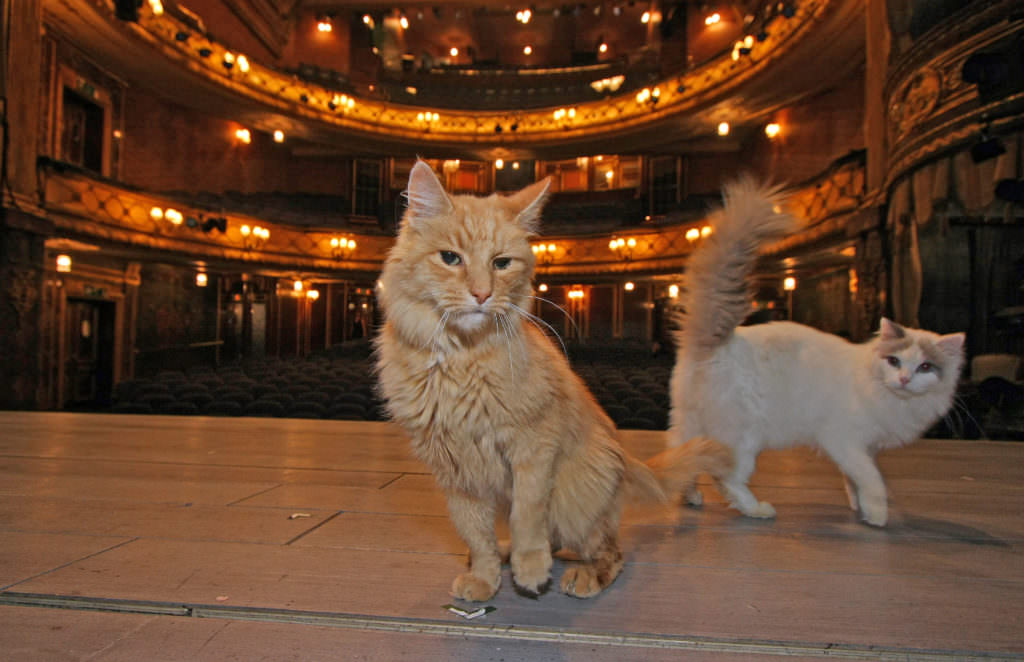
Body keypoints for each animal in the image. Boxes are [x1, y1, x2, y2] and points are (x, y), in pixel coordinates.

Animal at [376, 160, 729, 602]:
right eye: (450, 258)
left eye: (501, 263)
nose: (482, 294)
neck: (460, 359)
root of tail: (624, 461)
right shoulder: (454, 470)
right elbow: (475, 532)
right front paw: (486, 577)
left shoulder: (533, 447)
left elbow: (528, 515)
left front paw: (529, 568)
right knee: (561, 541)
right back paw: (509, 557)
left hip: (577, 496)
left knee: (609, 551)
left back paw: (580, 576)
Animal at [667, 177, 962, 528]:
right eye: (894, 361)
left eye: (926, 367)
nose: (904, 378)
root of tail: (714, 341)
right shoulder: (845, 440)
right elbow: (873, 481)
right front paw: (877, 515)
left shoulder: (860, 448)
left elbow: (854, 481)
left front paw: (859, 507)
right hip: (744, 435)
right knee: (727, 478)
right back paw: (757, 509)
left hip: (690, 423)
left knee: (687, 460)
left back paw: (692, 496)